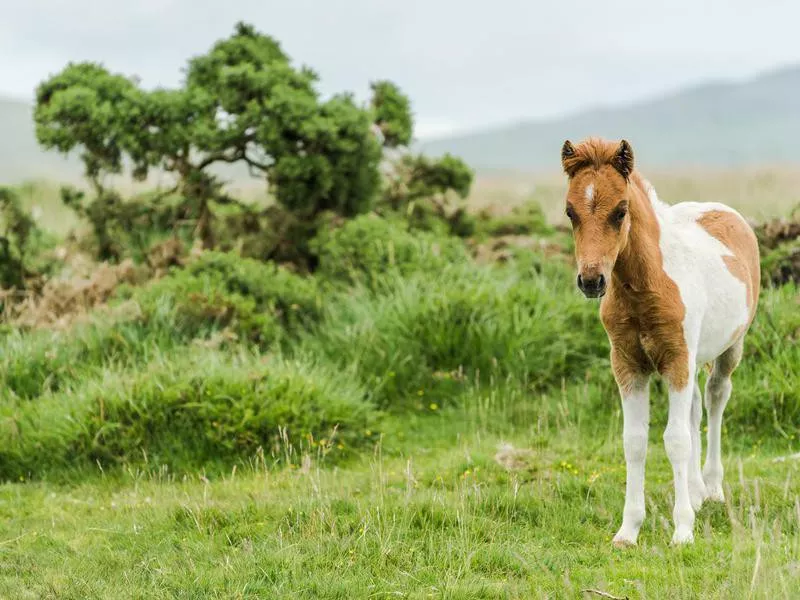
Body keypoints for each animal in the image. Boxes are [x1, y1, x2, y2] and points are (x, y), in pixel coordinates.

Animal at [560, 138, 760, 548]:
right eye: (570, 211)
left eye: (620, 211)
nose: (591, 281)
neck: (647, 287)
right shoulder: (628, 365)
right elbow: (634, 441)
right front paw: (628, 530)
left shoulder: (675, 360)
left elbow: (676, 440)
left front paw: (683, 530)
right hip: (692, 358)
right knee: (696, 407)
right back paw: (697, 492)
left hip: (728, 348)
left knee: (716, 398)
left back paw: (712, 489)